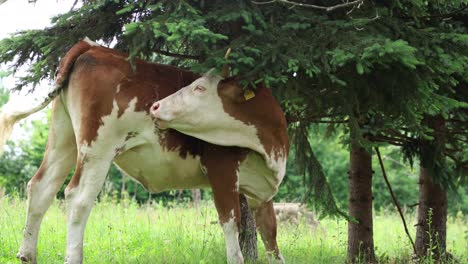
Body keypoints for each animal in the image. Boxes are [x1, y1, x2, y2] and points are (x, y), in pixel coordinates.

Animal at [0, 37, 288, 264]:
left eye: (199, 87)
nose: (157, 106)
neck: (270, 148)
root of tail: (91, 46)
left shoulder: (262, 192)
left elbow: (271, 234)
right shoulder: (222, 169)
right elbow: (231, 224)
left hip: (64, 138)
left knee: (41, 186)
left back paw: (27, 255)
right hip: (98, 147)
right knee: (77, 197)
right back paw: (72, 256)